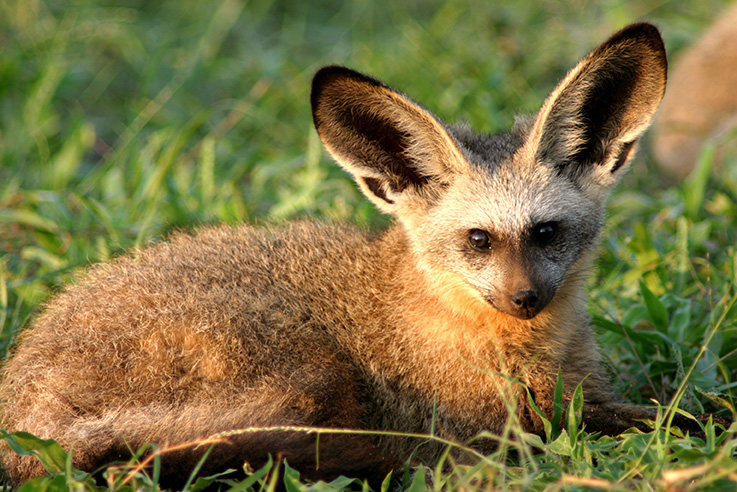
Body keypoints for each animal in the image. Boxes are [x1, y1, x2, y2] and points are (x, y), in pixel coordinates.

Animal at [0, 22, 712, 488]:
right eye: (478, 240)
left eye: (546, 232)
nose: (525, 298)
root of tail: (20, 402)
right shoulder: (501, 422)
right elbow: (672, 418)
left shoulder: (579, 397)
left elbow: (685, 410)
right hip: (307, 375)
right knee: (142, 468)